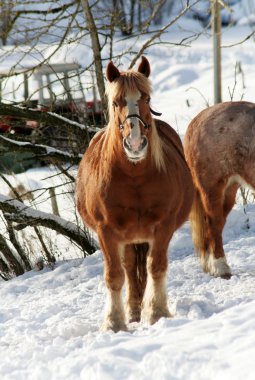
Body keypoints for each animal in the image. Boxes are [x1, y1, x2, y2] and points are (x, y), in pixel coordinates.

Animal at [75, 56, 193, 332]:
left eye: (146, 99)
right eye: (115, 102)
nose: (136, 144)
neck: (134, 178)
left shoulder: (163, 226)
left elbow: (156, 266)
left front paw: (157, 312)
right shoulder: (106, 231)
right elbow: (115, 276)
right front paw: (114, 322)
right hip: (126, 237)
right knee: (128, 268)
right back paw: (132, 310)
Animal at [184, 101, 255, 280]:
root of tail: (197, 120)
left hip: (229, 189)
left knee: (217, 224)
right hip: (211, 187)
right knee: (213, 223)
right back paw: (220, 267)